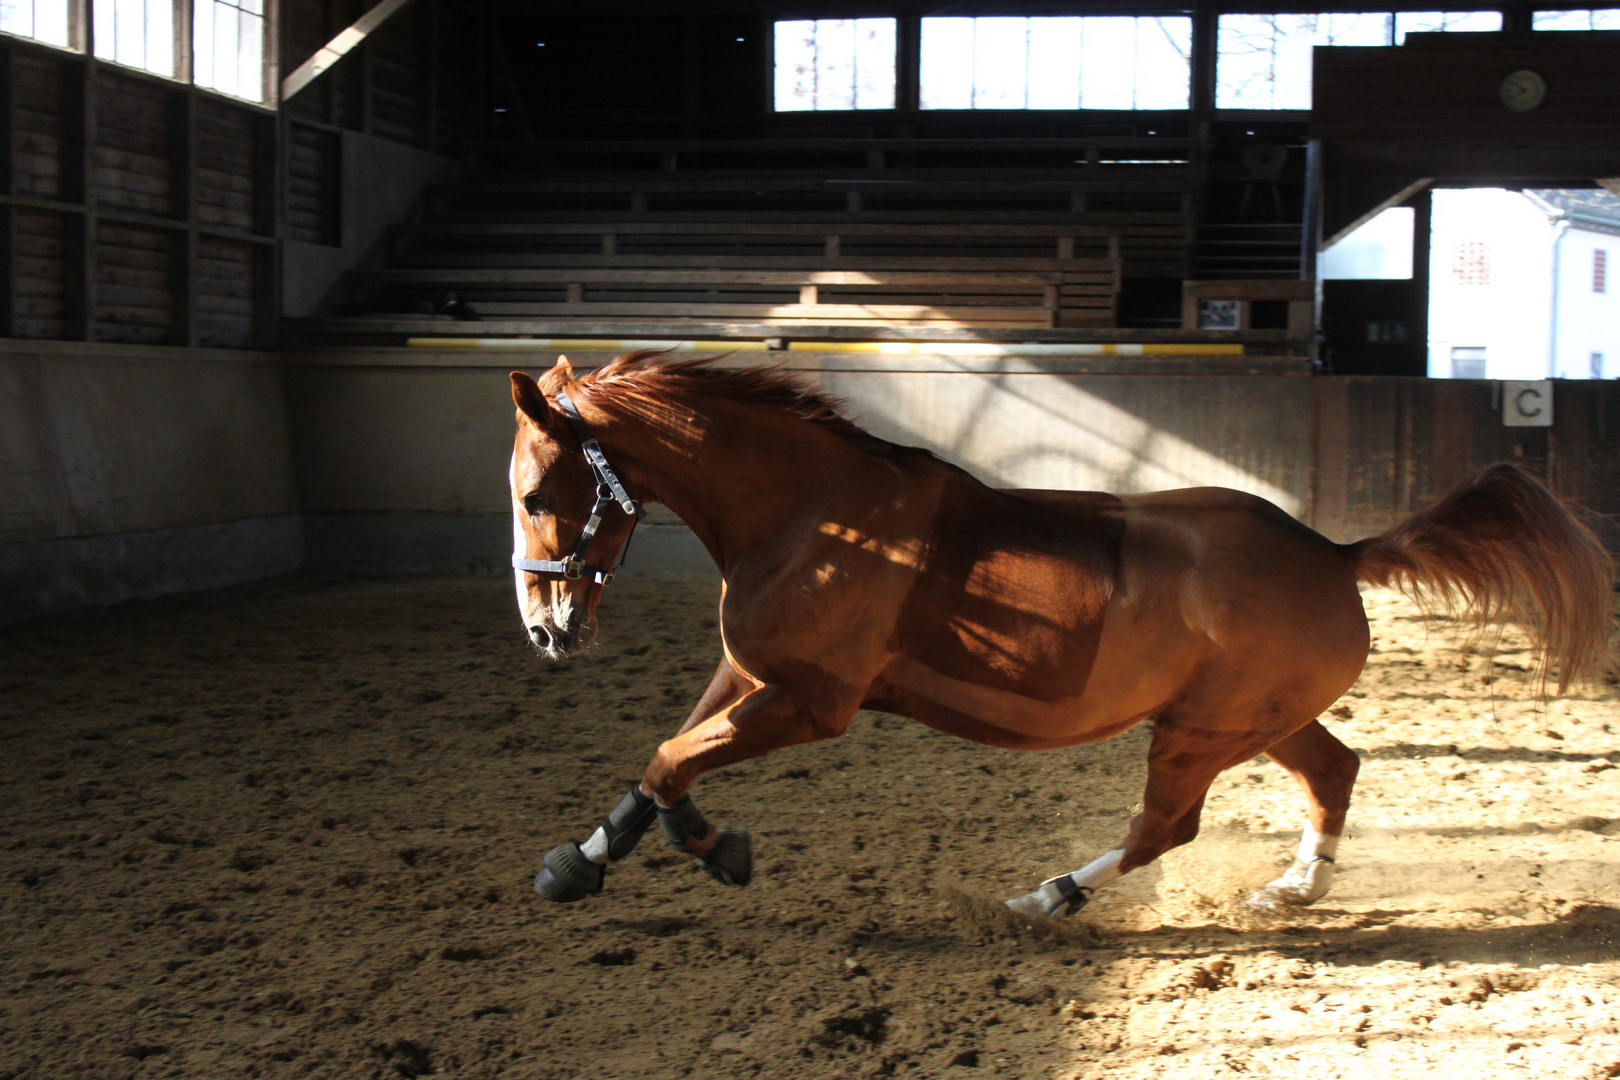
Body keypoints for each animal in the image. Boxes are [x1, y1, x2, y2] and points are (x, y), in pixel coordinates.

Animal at [502, 352, 1607, 919]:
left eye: (533, 496)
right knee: (1335, 769)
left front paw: (715, 850)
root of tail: (1336, 554)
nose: (548, 631)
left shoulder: (812, 703)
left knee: (1168, 827)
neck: (813, 510)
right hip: (1259, 720)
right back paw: (1294, 886)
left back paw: (1050, 896)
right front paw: (578, 865)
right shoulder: (750, 672)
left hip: (1201, 733)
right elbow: (657, 765)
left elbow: (672, 763)